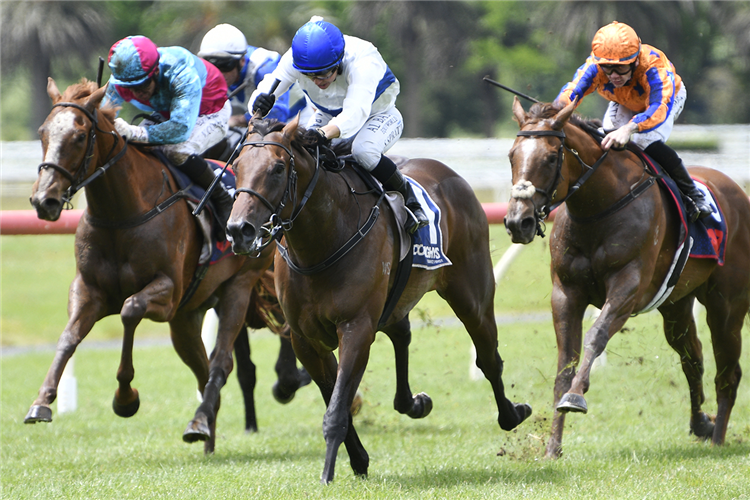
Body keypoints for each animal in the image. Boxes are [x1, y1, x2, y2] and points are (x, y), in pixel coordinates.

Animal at [25, 78, 308, 454]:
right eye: (43, 132)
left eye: (79, 136)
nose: (44, 200)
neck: (122, 214)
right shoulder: (88, 289)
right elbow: (69, 336)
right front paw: (41, 402)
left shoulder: (168, 293)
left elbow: (130, 310)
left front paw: (125, 398)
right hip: (187, 316)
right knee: (204, 367)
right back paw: (205, 429)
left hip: (237, 287)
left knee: (221, 361)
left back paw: (203, 422)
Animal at [226, 115, 532, 482]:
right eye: (238, 165)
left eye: (277, 168)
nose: (238, 230)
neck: (322, 241)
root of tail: (453, 176)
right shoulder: (306, 339)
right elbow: (336, 398)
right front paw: (358, 460)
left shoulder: (356, 327)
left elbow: (336, 408)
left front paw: (327, 473)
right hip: (397, 299)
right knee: (402, 333)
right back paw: (413, 403)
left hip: (472, 296)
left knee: (488, 358)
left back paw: (512, 414)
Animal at [506, 95, 750, 458]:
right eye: (512, 155)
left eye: (550, 157)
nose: (516, 221)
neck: (597, 207)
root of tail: (736, 189)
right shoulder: (566, 293)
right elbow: (565, 362)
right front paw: (552, 448)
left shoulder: (628, 287)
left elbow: (596, 336)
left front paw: (575, 396)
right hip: (675, 304)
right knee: (692, 358)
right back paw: (701, 424)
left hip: (727, 306)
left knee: (728, 373)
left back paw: (718, 438)